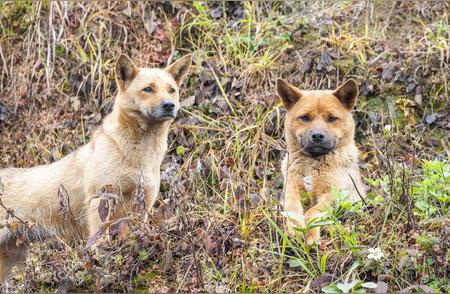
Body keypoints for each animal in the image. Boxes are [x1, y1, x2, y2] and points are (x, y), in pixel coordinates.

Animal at [0, 53, 192, 282]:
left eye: (172, 89)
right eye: (148, 89)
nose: (169, 105)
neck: (137, 157)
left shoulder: (141, 206)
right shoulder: (100, 199)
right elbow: (99, 241)